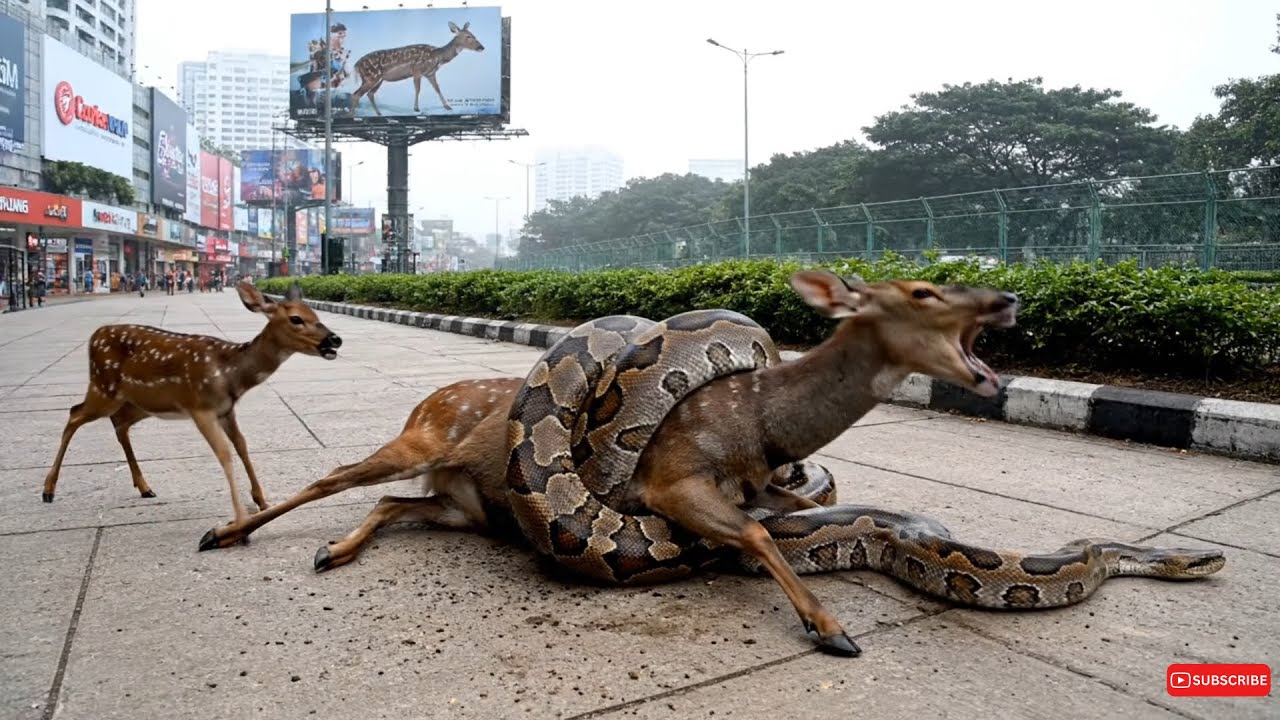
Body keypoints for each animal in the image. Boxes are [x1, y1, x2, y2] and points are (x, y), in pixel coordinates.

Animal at [42, 280, 343, 529]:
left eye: (317, 316)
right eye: (296, 319)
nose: (335, 339)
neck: (231, 374)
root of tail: (95, 335)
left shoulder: (226, 410)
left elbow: (242, 446)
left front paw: (262, 501)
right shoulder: (201, 408)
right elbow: (224, 453)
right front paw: (240, 519)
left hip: (140, 402)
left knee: (118, 422)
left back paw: (144, 487)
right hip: (103, 388)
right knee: (75, 413)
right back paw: (48, 490)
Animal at [349, 21, 485, 116]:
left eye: (474, 35)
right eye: (468, 36)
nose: (481, 47)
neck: (438, 57)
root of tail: (356, 65)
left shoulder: (430, 73)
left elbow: (437, 88)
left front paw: (448, 107)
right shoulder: (417, 71)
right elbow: (418, 89)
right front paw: (416, 108)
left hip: (378, 79)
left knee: (369, 94)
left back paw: (378, 113)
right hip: (371, 77)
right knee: (356, 94)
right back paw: (354, 116)